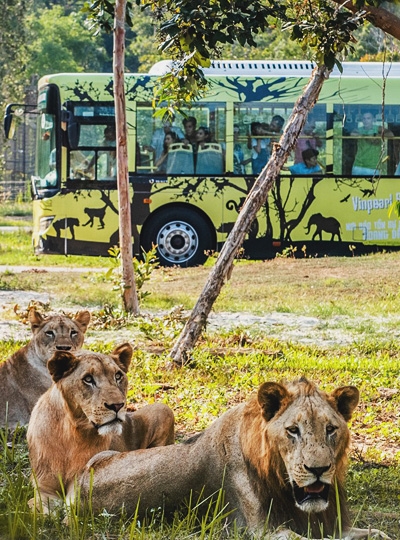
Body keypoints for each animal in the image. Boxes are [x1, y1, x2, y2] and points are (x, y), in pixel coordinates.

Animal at [26, 344, 173, 508]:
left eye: (118, 376)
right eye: (88, 379)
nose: (117, 405)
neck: (72, 434)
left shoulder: (80, 483)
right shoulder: (43, 489)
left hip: (163, 409)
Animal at [73, 380, 390, 540]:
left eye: (330, 429)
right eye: (293, 430)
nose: (319, 469)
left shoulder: (334, 526)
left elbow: (377, 534)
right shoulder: (261, 531)